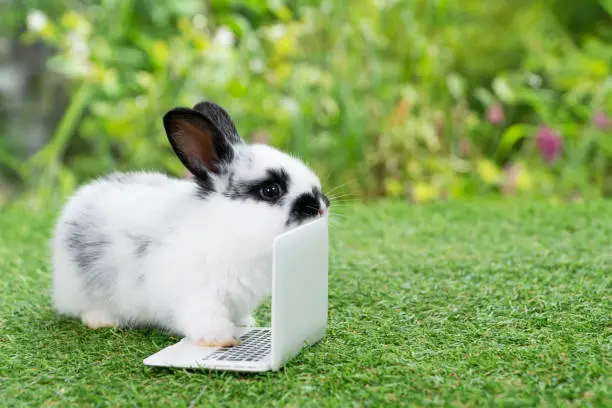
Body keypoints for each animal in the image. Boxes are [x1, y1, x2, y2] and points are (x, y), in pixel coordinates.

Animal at [51, 100, 330, 346]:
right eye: (271, 190)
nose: (320, 206)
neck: (228, 226)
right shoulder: (197, 297)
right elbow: (205, 319)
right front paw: (220, 339)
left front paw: (244, 325)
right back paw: (102, 320)